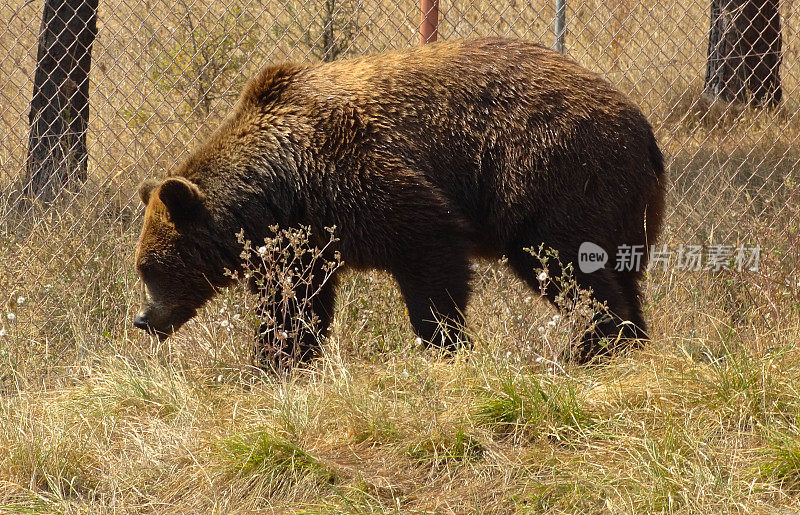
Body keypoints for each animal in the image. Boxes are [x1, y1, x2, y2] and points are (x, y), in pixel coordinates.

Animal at [134, 35, 664, 366]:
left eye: (148, 268)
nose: (143, 320)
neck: (277, 188)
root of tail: (644, 129)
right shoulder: (304, 240)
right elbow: (296, 305)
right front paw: (277, 359)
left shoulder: (364, 181)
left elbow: (430, 256)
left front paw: (444, 342)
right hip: (619, 209)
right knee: (615, 275)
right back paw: (626, 340)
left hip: (550, 172)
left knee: (566, 266)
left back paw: (593, 345)